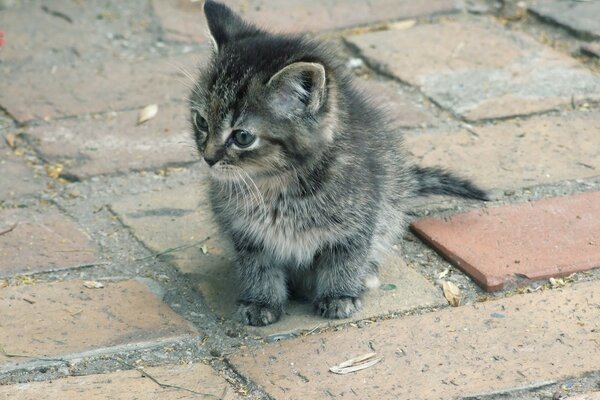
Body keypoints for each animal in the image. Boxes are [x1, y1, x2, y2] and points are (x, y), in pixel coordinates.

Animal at [190, 0, 490, 324]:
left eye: (243, 137)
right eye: (201, 122)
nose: (208, 158)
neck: (278, 184)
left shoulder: (357, 223)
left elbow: (345, 259)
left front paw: (338, 296)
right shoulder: (244, 232)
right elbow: (257, 266)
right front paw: (261, 301)